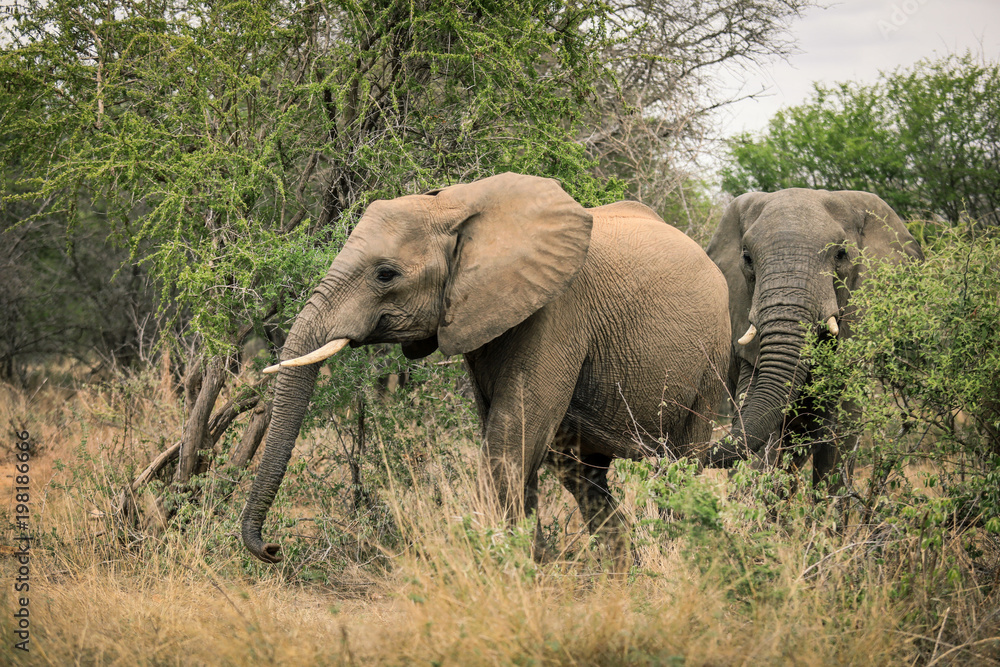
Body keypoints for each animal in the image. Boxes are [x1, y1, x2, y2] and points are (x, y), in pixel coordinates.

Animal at [239, 172, 732, 564]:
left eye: (385, 274)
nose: (273, 549)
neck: (457, 207)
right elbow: (508, 438)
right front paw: (535, 563)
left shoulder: (557, 311)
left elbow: (510, 438)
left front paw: (514, 564)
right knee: (581, 475)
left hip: (712, 361)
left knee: (677, 466)